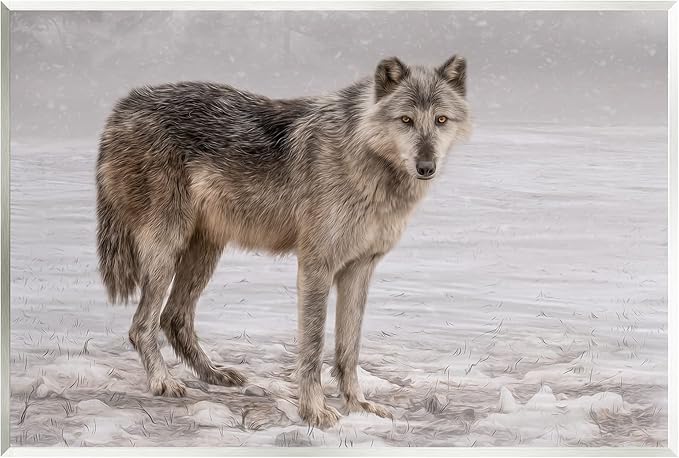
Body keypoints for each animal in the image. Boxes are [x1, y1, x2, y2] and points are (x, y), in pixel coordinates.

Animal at [96, 55, 470, 428]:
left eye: (440, 120)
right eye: (406, 120)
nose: (426, 166)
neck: (365, 159)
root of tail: (122, 106)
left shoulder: (359, 268)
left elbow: (349, 350)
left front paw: (359, 406)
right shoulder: (316, 265)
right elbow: (314, 346)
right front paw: (315, 411)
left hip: (205, 251)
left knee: (173, 318)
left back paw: (214, 374)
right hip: (167, 248)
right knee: (142, 325)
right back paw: (163, 382)